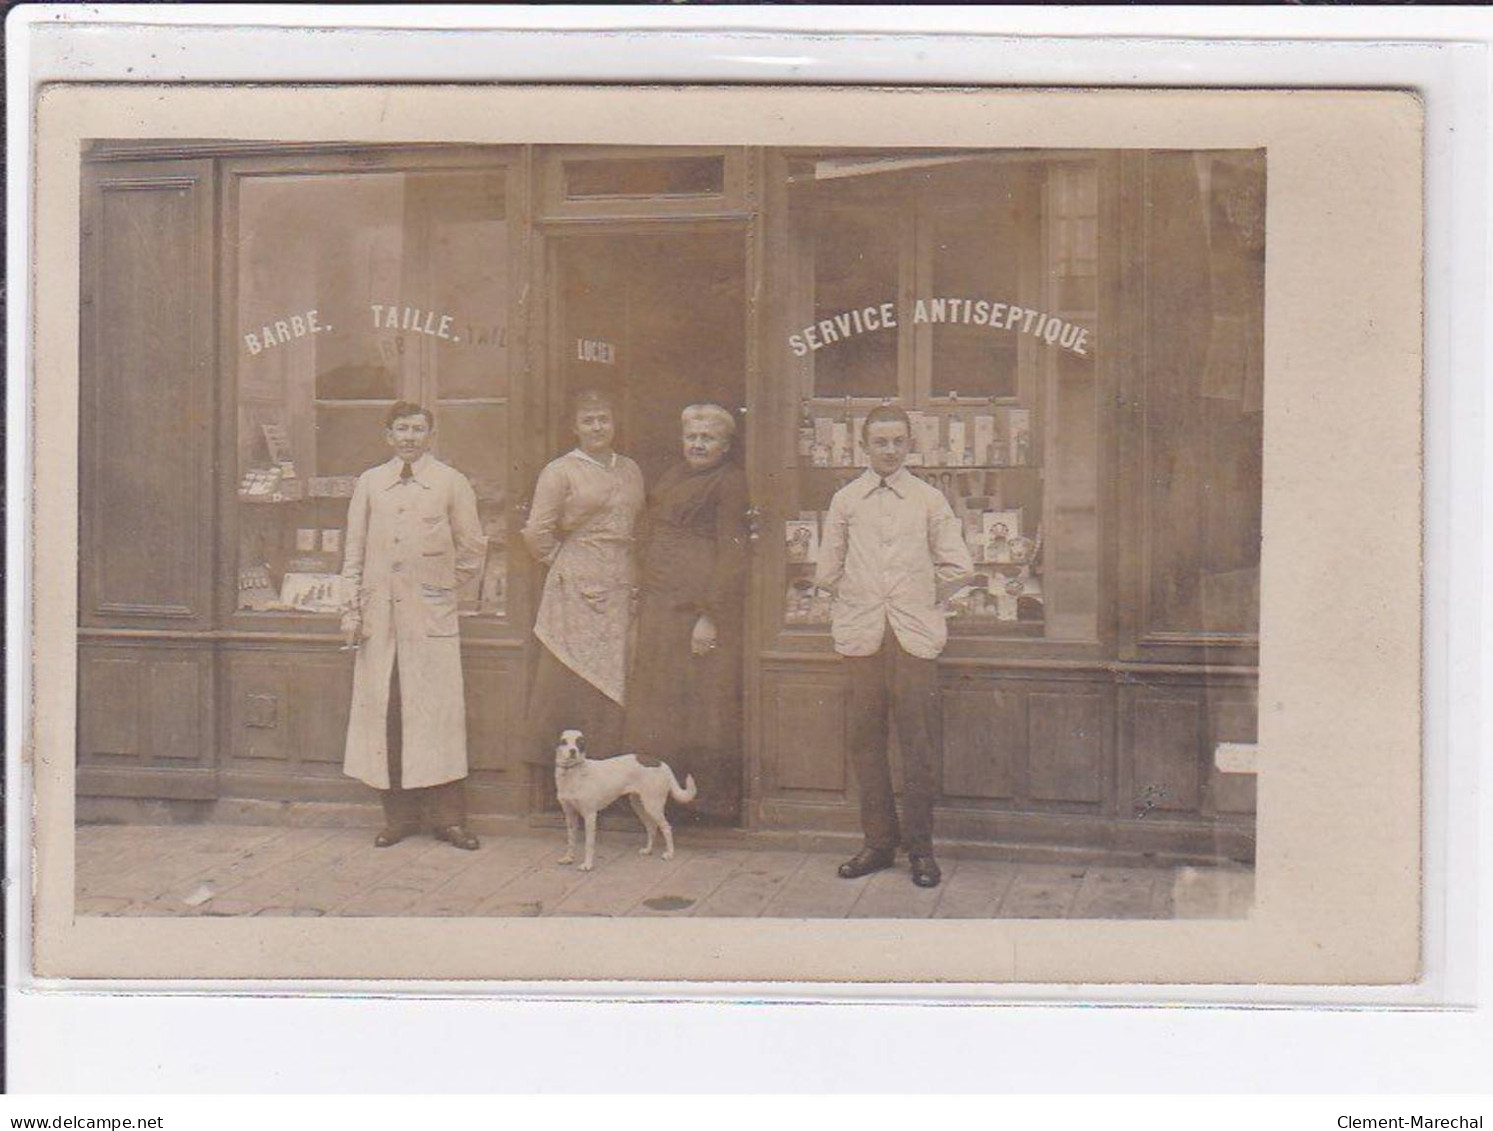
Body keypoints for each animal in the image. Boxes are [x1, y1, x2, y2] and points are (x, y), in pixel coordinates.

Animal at [555, 731, 698, 871]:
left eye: (580, 742)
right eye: (564, 741)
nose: (573, 751)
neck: (572, 773)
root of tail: (661, 763)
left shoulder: (590, 815)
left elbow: (588, 844)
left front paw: (588, 865)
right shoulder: (570, 815)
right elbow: (571, 840)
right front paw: (569, 858)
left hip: (653, 806)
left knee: (666, 828)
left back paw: (669, 854)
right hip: (639, 806)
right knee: (651, 827)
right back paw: (648, 850)